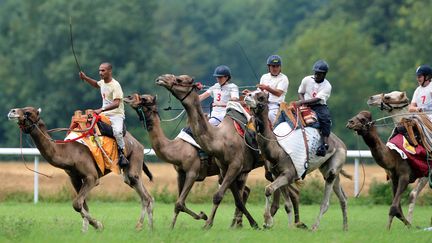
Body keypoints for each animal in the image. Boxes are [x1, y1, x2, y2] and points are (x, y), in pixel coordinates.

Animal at [7, 106, 154, 232]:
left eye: (28, 112)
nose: (12, 111)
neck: (68, 153)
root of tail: (139, 143)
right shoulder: (74, 178)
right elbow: (83, 205)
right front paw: (85, 230)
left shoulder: (92, 177)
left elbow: (77, 204)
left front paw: (98, 225)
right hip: (129, 170)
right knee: (143, 193)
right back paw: (148, 227)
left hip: (134, 157)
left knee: (144, 194)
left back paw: (142, 226)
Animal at [156, 74, 266, 230]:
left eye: (179, 80)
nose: (161, 78)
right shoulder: (182, 172)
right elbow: (179, 202)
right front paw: (172, 227)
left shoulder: (198, 170)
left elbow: (213, 196)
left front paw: (206, 221)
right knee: (244, 191)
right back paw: (237, 223)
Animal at [245, 90, 350, 231]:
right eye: (252, 92)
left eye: (261, 96)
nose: (247, 96)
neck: (277, 150)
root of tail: (342, 144)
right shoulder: (277, 174)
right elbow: (287, 205)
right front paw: (290, 228)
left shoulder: (288, 173)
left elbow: (268, 189)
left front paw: (267, 221)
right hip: (328, 168)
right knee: (343, 197)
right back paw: (345, 228)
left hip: (334, 164)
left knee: (326, 202)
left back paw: (314, 227)